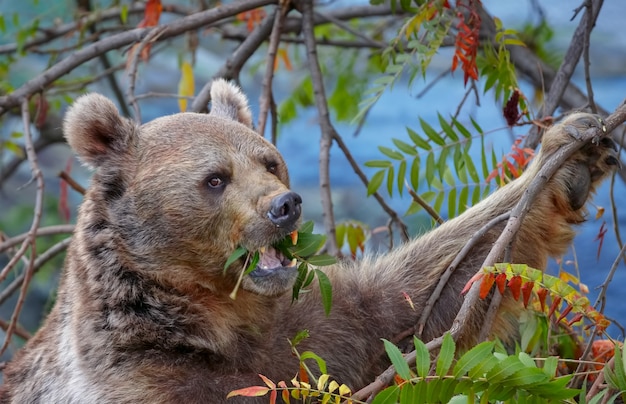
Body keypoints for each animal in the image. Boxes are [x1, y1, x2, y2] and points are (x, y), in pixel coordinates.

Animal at [0, 78, 616, 400]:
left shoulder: (315, 334)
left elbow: (419, 303)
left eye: (268, 160)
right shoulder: (147, 377)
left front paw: (572, 153)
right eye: (215, 178)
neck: (212, 320)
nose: (284, 205)